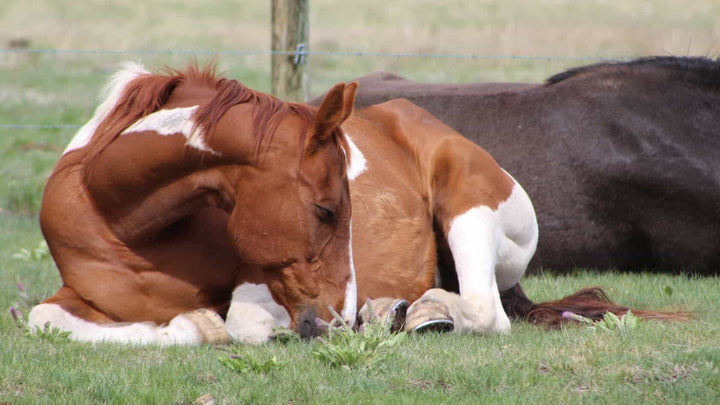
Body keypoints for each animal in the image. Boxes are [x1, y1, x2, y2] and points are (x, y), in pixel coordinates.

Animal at [30, 61, 675, 345]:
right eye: (325, 210)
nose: (336, 318)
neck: (123, 220)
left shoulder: (263, 277)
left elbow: (241, 322)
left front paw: (212, 323)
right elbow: (42, 319)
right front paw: (193, 323)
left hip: (468, 200)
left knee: (484, 310)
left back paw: (408, 313)